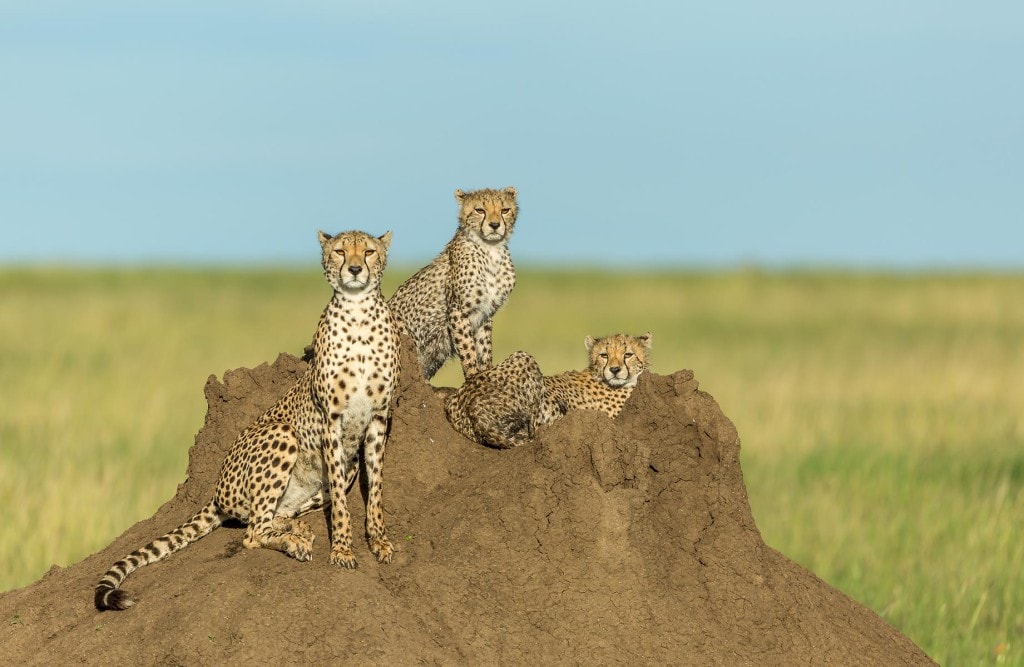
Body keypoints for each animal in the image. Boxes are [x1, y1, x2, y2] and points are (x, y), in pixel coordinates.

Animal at [95, 229, 399, 610]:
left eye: (369, 251)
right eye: (341, 251)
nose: (355, 269)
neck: (358, 315)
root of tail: (215, 490)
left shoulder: (378, 417)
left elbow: (377, 488)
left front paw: (379, 541)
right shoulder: (332, 418)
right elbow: (343, 509)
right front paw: (342, 550)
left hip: (340, 469)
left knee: (273, 517)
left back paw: (295, 530)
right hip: (283, 434)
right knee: (252, 533)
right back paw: (293, 542)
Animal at [391, 186, 520, 381]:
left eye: (504, 210)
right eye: (480, 210)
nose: (495, 225)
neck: (491, 250)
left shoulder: (485, 314)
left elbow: (484, 349)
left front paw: (487, 375)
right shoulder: (458, 311)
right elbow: (468, 349)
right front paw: (473, 377)